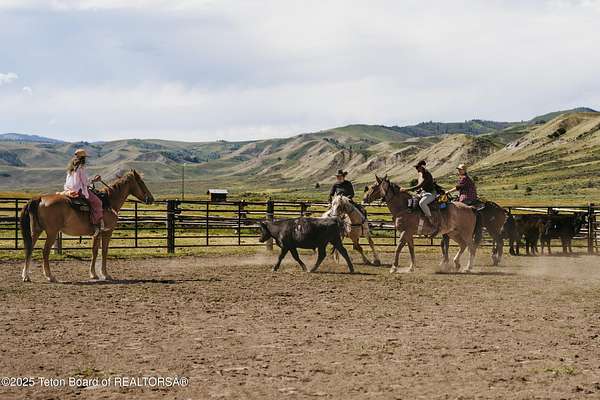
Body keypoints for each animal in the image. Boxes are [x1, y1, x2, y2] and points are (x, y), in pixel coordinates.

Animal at [19, 170, 154, 283]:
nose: (151, 199)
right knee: (45, 251)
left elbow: (94, 251)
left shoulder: (96, 233)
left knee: (29, 248)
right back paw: (50, 276)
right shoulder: (107, 232)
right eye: (141, 182)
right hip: (52, 232)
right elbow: (104, 251)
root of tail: (40, 198)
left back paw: (26, 276)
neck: (109, 202)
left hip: (36, 231)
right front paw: (105, 274)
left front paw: (93, 274)